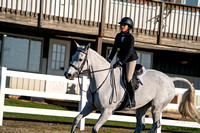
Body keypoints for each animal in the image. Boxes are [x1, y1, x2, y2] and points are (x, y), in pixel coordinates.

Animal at [65, 42, 199, 133]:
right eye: (72, 57)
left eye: (80, 59)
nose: (68, 74)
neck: (101, 80)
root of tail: (170, 79)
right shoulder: (90, 105)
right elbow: (76, 119)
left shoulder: (107, 111)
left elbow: (95, 128)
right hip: (141, 108)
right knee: (141, 125)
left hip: (156, 108)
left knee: (156, 125)